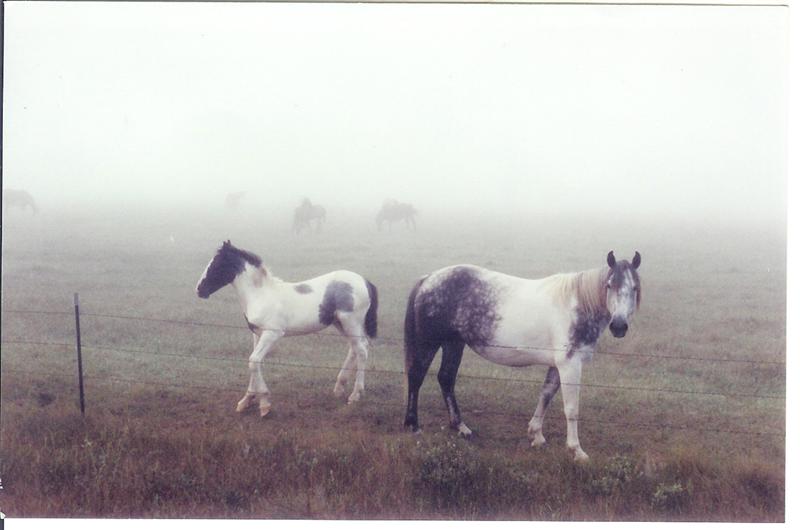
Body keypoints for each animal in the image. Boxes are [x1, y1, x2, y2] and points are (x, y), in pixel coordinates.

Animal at [196, 240, 378, 416]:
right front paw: (246, 400)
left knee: (362, 351)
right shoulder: (257, 334)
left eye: (216, 265)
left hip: (351, 323)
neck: (261, 295)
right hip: (340, 324)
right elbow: (254, 362)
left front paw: (264, 403)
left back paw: (355, 395)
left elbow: (254, 361)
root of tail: (365, 281)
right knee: (354, 349)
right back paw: (339, 388)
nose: (199, 290)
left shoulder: (273, 333)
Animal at [404, 249, 640, 458]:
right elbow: (571, 409)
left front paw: (536, 435)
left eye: (635, 287)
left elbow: (546, 394)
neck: (578, 305)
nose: (619, 326)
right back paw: (413, 425)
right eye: (609, 285)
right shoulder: (570, 365)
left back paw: (460, 427)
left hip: (453, 343)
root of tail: (428, 279)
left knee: (446, 378)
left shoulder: (558, 364)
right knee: (416, 377)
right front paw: (576, 450)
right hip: (429, 342)